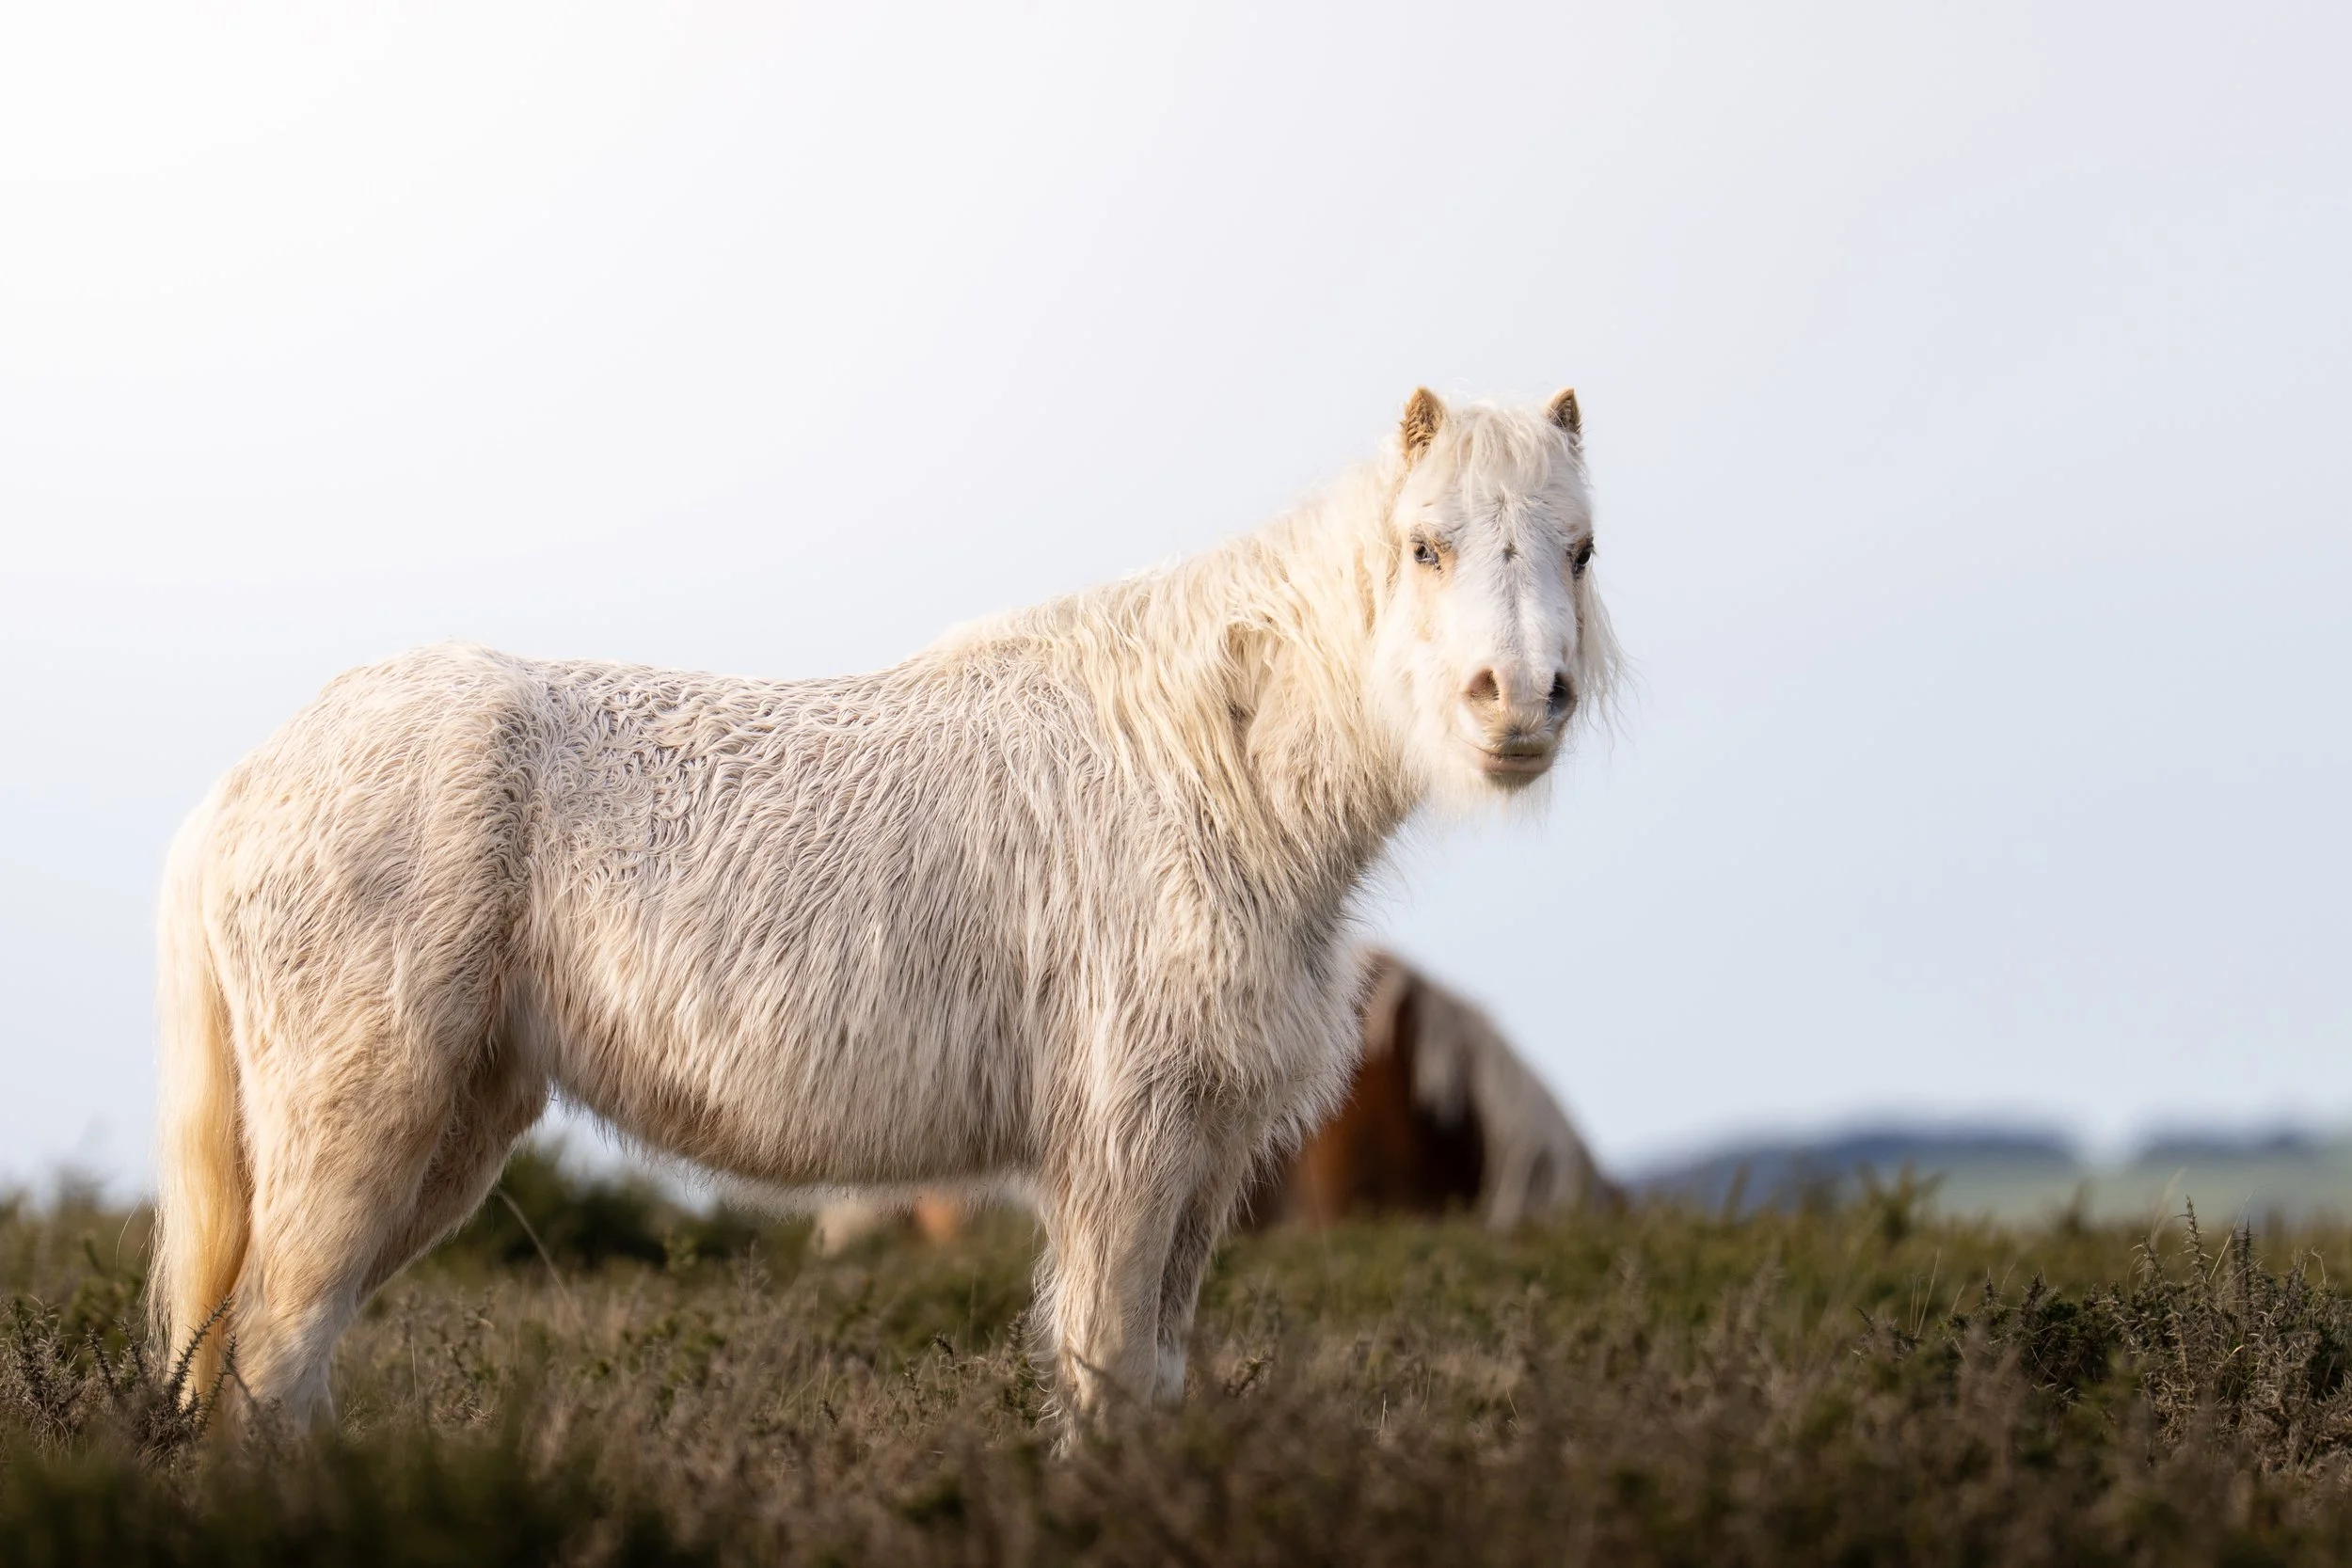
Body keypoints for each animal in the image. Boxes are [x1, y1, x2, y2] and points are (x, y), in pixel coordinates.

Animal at [149, 386, 1619, 1431]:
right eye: (1423, 546)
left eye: (1581, 549)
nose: (1520, 701)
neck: (1202, 761)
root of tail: (247, 783)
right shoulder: (1126, 1153)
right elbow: (1103, 1378)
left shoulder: (1205, 1162)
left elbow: (1152, 1380)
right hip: (363, 1128)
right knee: (274, 1347)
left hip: (448, 1134)